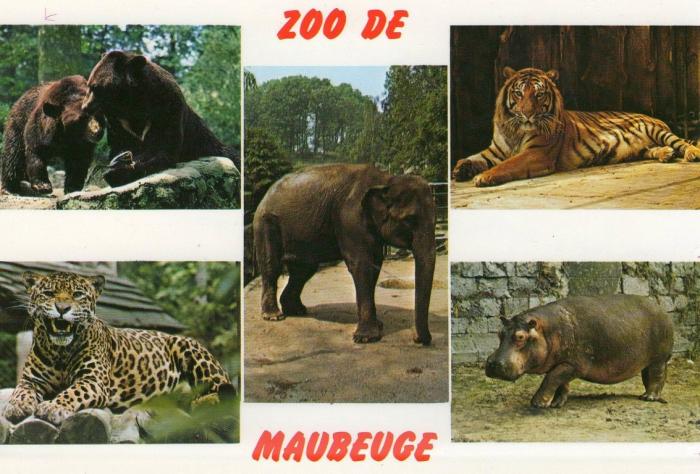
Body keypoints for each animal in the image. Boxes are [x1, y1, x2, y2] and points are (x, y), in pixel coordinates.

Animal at [452, 67, 700, 187]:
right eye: (519, 93)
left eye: (539, 94)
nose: (527, 114)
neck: (515, 130)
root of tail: (654, 117)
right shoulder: (495, 150)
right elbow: (473, 157)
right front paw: (460, 169)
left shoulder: (538, 153)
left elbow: (508, 164)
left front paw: (483, 177)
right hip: (643, 147)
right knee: (655, 149)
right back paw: (666, 154)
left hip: (657, 131)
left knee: (681, 142)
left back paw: (691, 154)